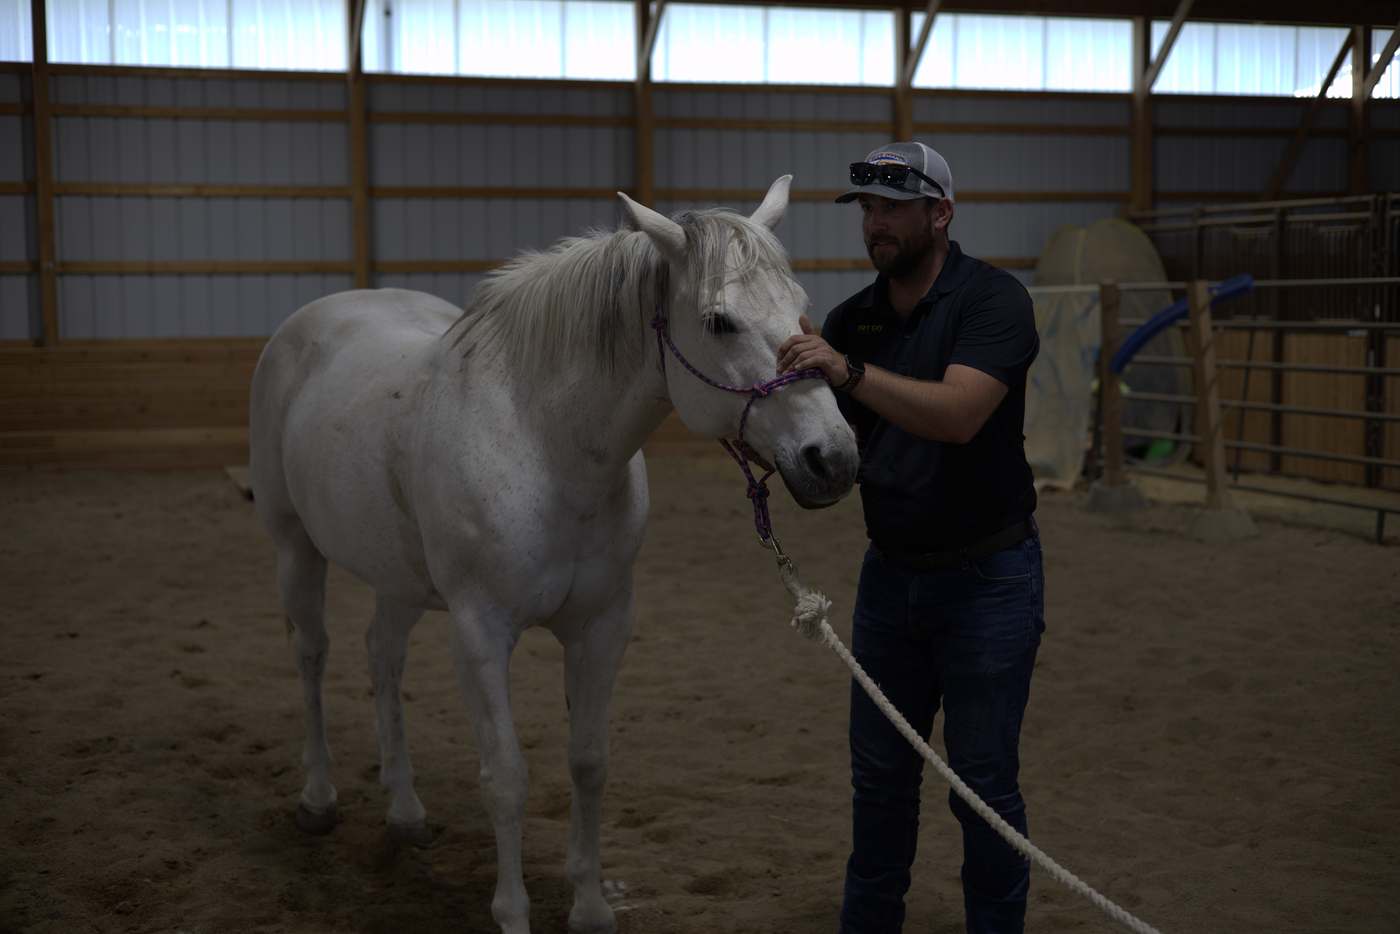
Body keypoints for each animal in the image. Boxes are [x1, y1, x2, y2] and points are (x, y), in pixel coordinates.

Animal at [248, 175, 859, 933]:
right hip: (295, 547)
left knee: (381, 656)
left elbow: (588, 762)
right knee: (312, 654)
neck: (546, 444)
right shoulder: (480, 632)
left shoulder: (602, 626)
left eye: (801, 307)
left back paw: (406, 812)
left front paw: (591, 905)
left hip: (400, 578)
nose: (832, 460)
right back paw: (319, 798)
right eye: (720, 322)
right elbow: (506, 777)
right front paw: (512, 913)